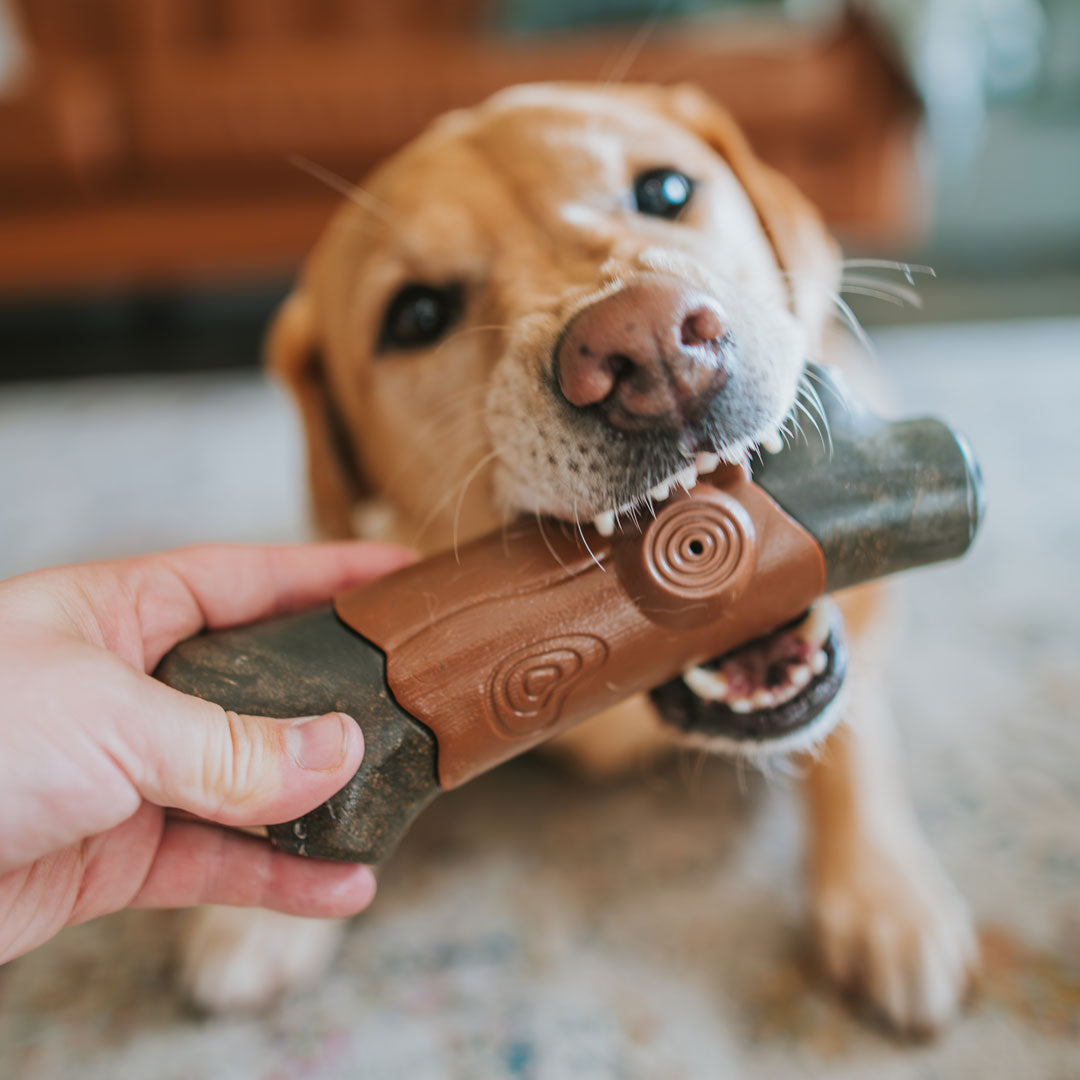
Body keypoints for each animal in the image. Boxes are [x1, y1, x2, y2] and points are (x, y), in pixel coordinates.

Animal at [179, 82, 980, 1028]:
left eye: (666, 191)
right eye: (416, 315)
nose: (652, 345)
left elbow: (857, 734)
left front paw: (886, 892)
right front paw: (255, 911)